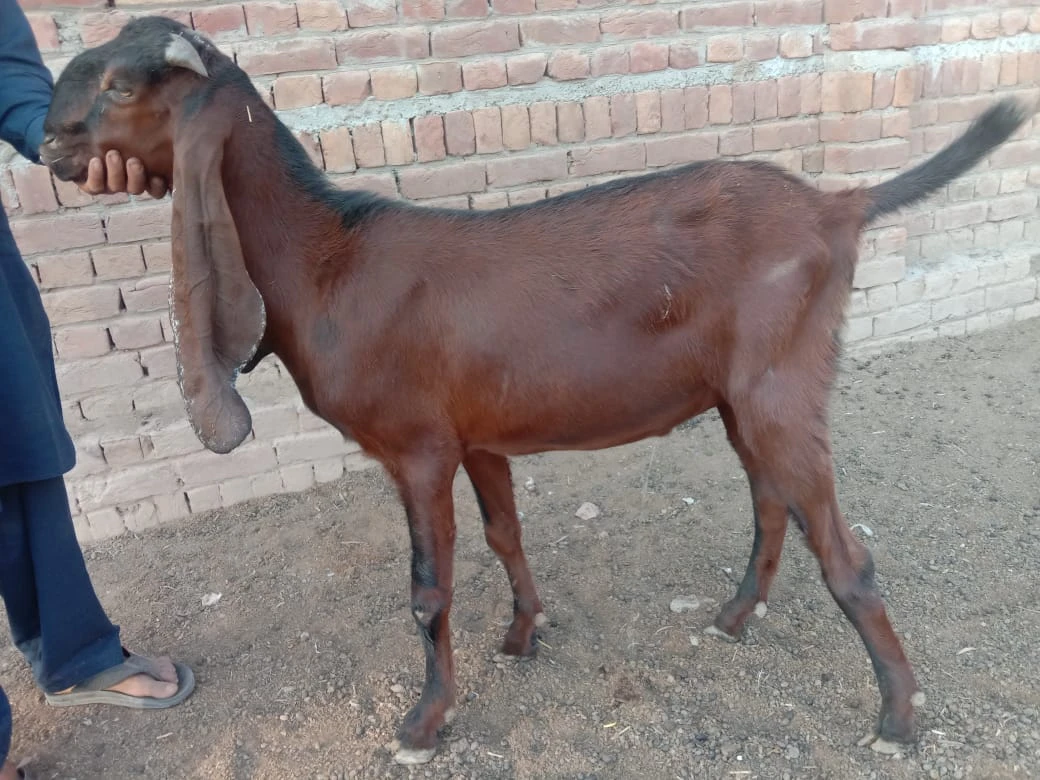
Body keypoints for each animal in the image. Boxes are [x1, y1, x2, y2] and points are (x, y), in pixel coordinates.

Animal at [38, 15, 1031, 765]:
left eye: (121, 87)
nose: (49, 141)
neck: (330, 261)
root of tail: (836, 207)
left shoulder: (417, 448)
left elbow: (428, 588)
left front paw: (424, 723)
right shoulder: (478, 435)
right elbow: (505, 534)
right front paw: (524, 635)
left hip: (782, 382)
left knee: (847, 552)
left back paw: (897, 717)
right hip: (742, 395)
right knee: (770, 502)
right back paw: (734, 617)